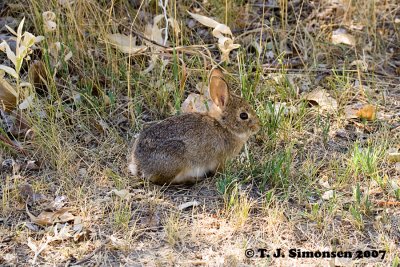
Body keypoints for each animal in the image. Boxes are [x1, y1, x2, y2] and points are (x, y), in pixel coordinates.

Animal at [128, 68, 260, 185]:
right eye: (243, 115)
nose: (257, 126)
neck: (223, 126)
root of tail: (139, 166)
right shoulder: (220, 159)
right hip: (176, 158)